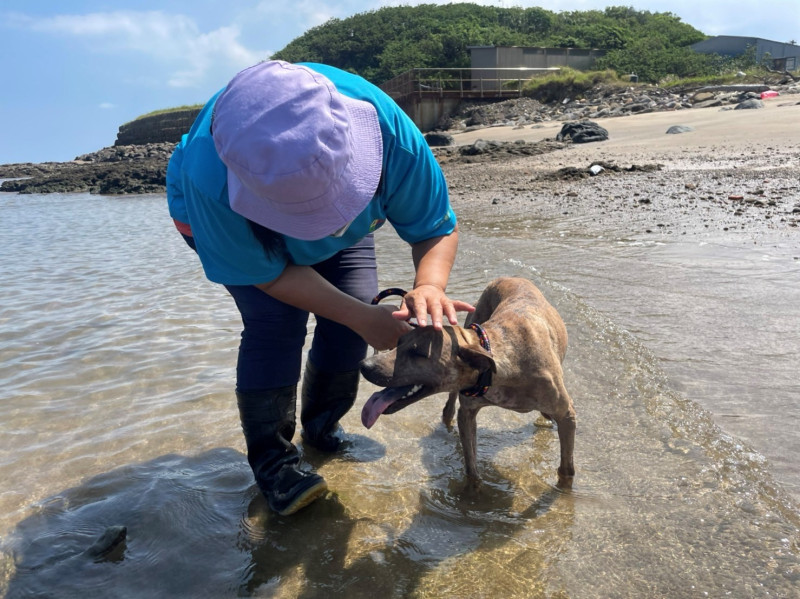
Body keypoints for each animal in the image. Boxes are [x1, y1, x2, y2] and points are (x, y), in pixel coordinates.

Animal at [360, 278, 576, 490]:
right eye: (399, 341)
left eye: (418, 352)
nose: (364, 366)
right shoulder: (467, 413)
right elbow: (471, 465)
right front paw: (473, 492)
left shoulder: (566, 414)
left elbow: (567, 468)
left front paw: (564, 490)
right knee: (450, 404)